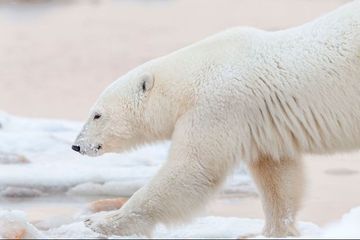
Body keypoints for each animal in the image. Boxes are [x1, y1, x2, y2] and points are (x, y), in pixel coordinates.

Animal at [71, 1, 360, 238]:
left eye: (96, 114)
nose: (76, 145)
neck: (190, 79)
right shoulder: (262, 124)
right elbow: (278, 175)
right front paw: (273, 230)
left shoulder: (217, 107)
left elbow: (192, 168)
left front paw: (99, 221)